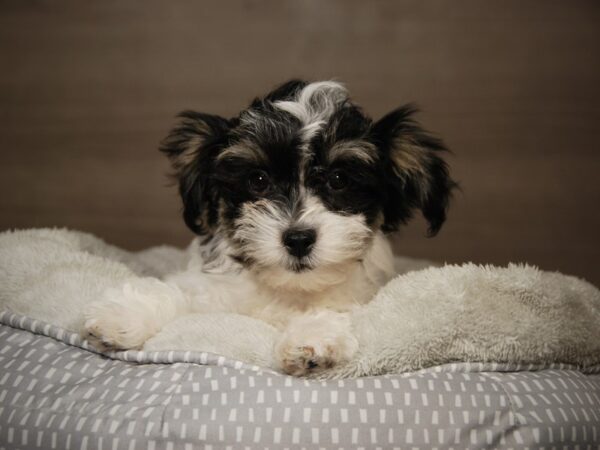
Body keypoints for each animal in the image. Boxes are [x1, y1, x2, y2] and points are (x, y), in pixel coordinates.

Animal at [82, 81, 452, 376]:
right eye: (258, 180)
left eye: (338, 179)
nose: (298, 239)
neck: (287, 288)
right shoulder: (213, 289)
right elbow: (180, 292)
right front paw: (124, 315)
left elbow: (334, 309)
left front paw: (311, 337)